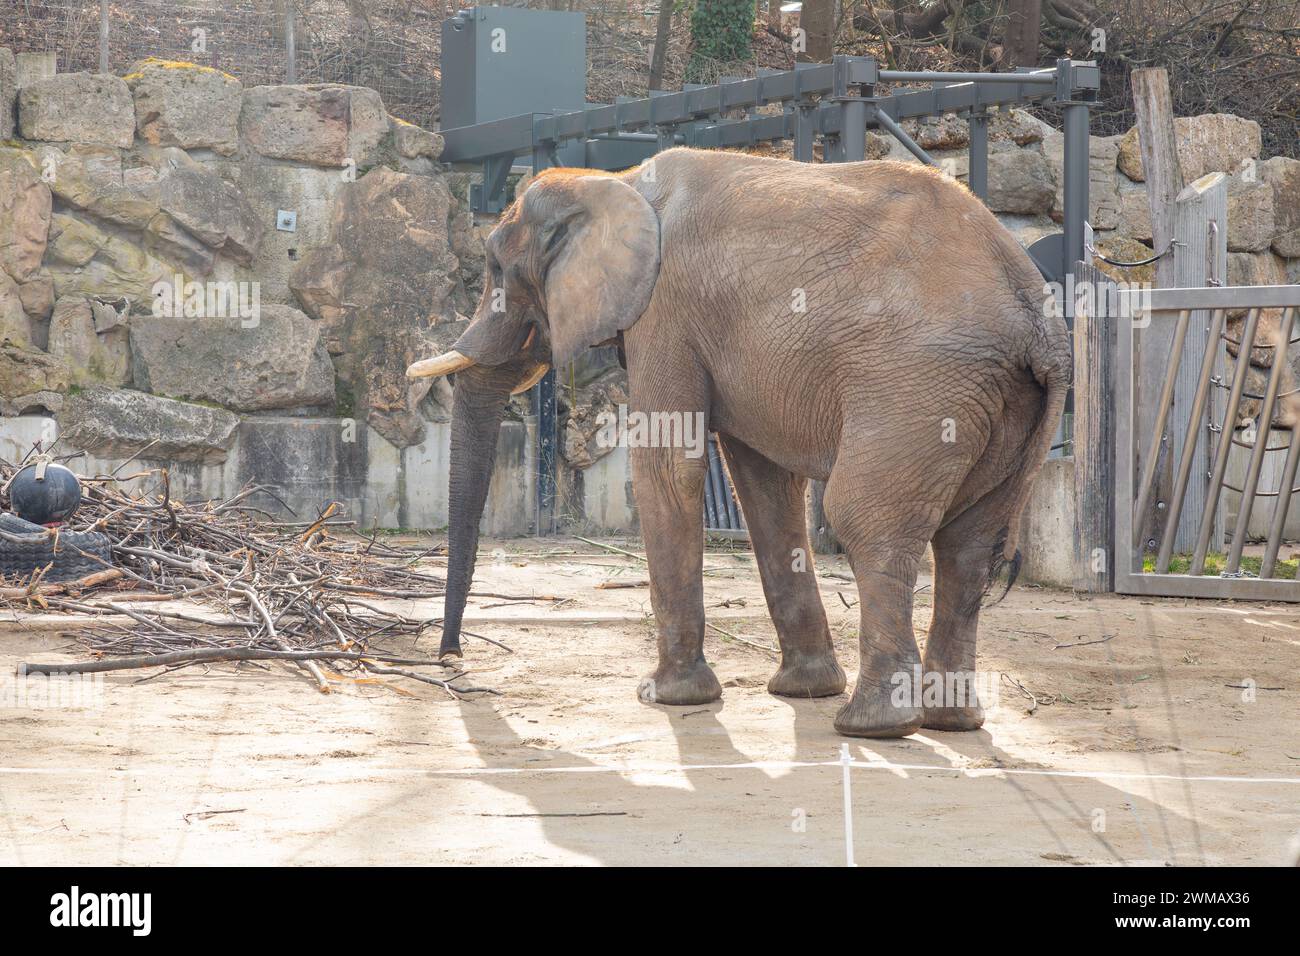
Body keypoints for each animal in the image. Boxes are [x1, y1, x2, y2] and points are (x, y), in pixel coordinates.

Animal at [410, 147, 1071, 738]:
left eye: (497, 270)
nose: (451, 658)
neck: (614, 179)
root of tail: (1039, 322)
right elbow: (762, 481)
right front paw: (802, 689)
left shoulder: (666, 312)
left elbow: (668, 465)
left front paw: (666, 697)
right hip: (997, 403)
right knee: (969, 544)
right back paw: (949, 721)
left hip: (919, 388)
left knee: (866, 518)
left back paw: (874, 726)